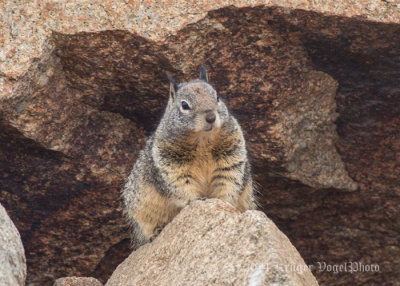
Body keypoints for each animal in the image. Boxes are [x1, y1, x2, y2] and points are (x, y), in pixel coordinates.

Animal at [121, 66, 256, 247]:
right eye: (184, 105)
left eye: (217, 97)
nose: (211, 117)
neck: (203, 140)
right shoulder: (170, 163)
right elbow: (182, 184)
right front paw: (196, 200)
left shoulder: (231, 156)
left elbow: (228, 182)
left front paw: (223, 202)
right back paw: (155, 232)